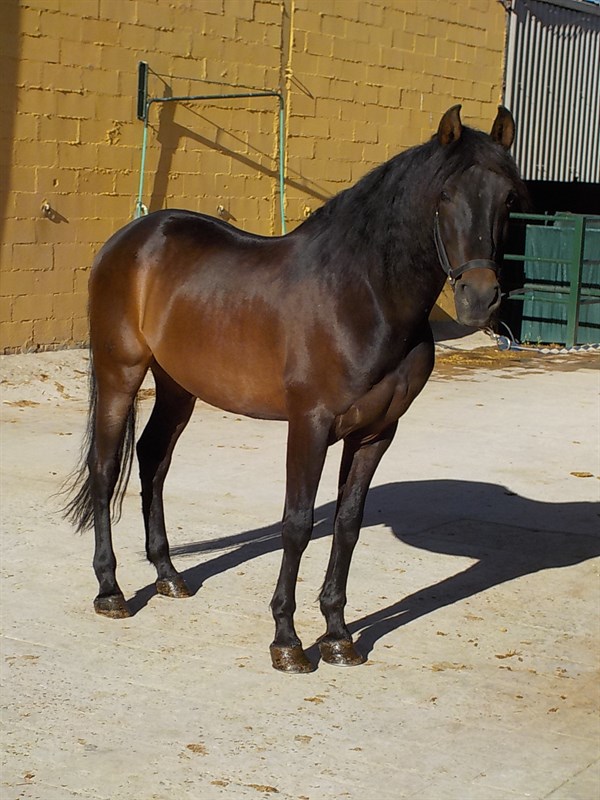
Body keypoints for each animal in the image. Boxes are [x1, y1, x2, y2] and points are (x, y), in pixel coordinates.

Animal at [64, 105, 527, 673]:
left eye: (509, 197)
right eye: (445, 195)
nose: (480, 299)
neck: (363, 295)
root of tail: (131, 237)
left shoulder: (377, 433)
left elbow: (347, 525)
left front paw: (338, 636)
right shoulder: (310, 424)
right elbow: (298, 523)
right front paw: (286, 640)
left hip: (178, 386)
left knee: (153, 459)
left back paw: (168, 575)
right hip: (120, 373)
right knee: (106, 468)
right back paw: (110, 590)